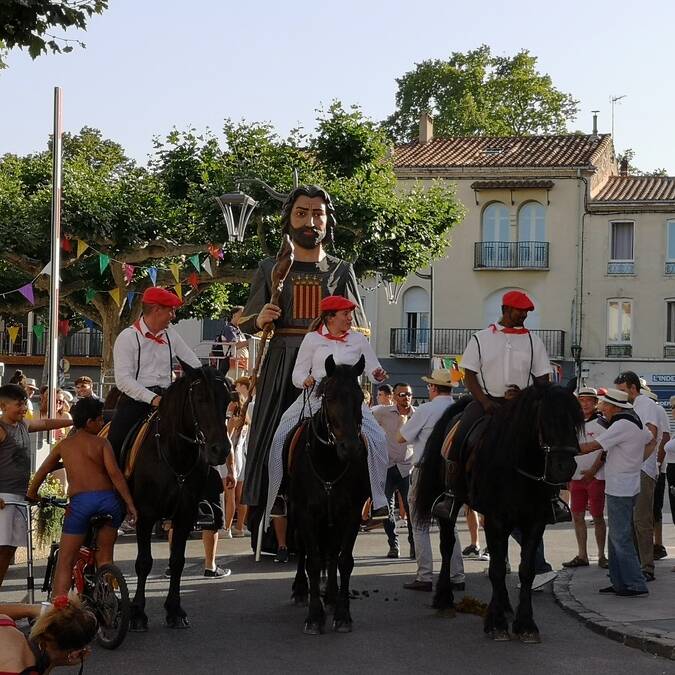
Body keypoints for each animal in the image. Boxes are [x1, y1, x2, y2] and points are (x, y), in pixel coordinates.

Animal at [128, 362, 231, 632]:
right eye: (200, 397)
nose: (220, 450)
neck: (174, 455)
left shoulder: (184, 515)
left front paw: (174, 610)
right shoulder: (145, 515)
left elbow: (177, 561)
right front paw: (137, 613)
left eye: (228, 398)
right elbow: (144, 562)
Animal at [288, 356, 368, 636]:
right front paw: (314, 616)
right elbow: (312, 561)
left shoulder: (351, 513)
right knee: (301, 549)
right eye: (330, 397)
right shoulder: (305, 513)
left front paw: (343, 614)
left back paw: (331, 597)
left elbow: (344, 560)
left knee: (332, 554)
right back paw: (300, 591)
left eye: (360, 397)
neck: (330, 462)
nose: (351, 448)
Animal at [414, 382, 584, 640]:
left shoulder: (534, 522)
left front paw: (525, 623)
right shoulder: (496, 518)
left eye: (575, 420)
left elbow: (525, 570)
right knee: (447, 546)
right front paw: (496, 623)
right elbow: (496, 570)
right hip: (452, 506)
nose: (564, 467)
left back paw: (504, 604)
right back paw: (444, 599)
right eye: (546, 420)